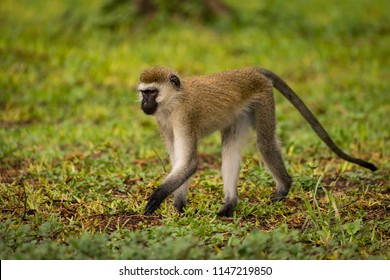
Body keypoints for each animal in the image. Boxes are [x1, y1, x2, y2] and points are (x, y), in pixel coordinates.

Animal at [138, 66, 378, 217]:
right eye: (143, 93)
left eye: (152, 92)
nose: (143, 104)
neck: (174, 101)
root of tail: (250, 71)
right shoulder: (164, 121)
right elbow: (179, 162)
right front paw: (179, 207)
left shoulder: (184, 116)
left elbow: (188, 163)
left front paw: (159, 196)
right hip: (240, 111)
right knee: (230, 151)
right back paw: (230, 204)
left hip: (263, 96)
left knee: (265, 142)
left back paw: (284, 186)